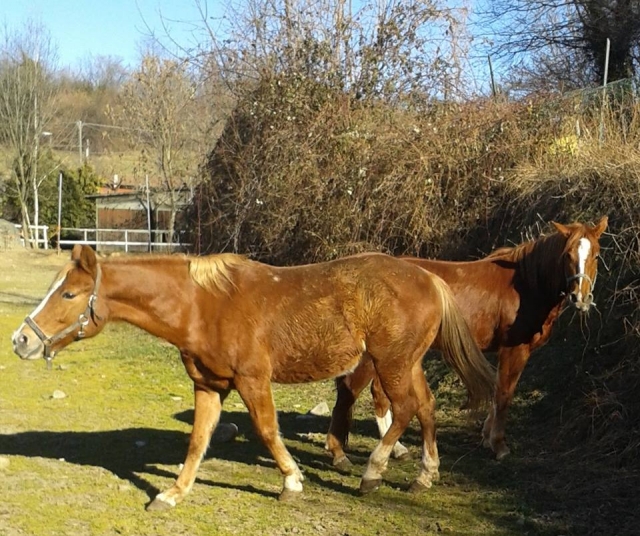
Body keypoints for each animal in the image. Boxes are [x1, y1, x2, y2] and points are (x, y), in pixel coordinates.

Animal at [12, 244, 495, 510]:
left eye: (69, 294)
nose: (21, 340)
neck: (203, 305)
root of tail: (429, 278)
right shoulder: (208, 386)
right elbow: (198, 441)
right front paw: (172, 494)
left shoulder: (252, 380)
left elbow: (266, 430)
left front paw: (291, 482)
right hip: (407, 363)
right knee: (427, 408)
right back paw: (425, 475)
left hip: (391, 364)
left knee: (406, 409)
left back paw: (372, 473)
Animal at [326, 216, 608, 466]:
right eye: (567, 255)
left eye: (595, 255)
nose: (580, 298)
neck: (525, 286)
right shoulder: (515, 350)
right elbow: (504, 394)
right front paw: (499, 445)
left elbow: (498, 391)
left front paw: (486, 437)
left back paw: (395, 449)